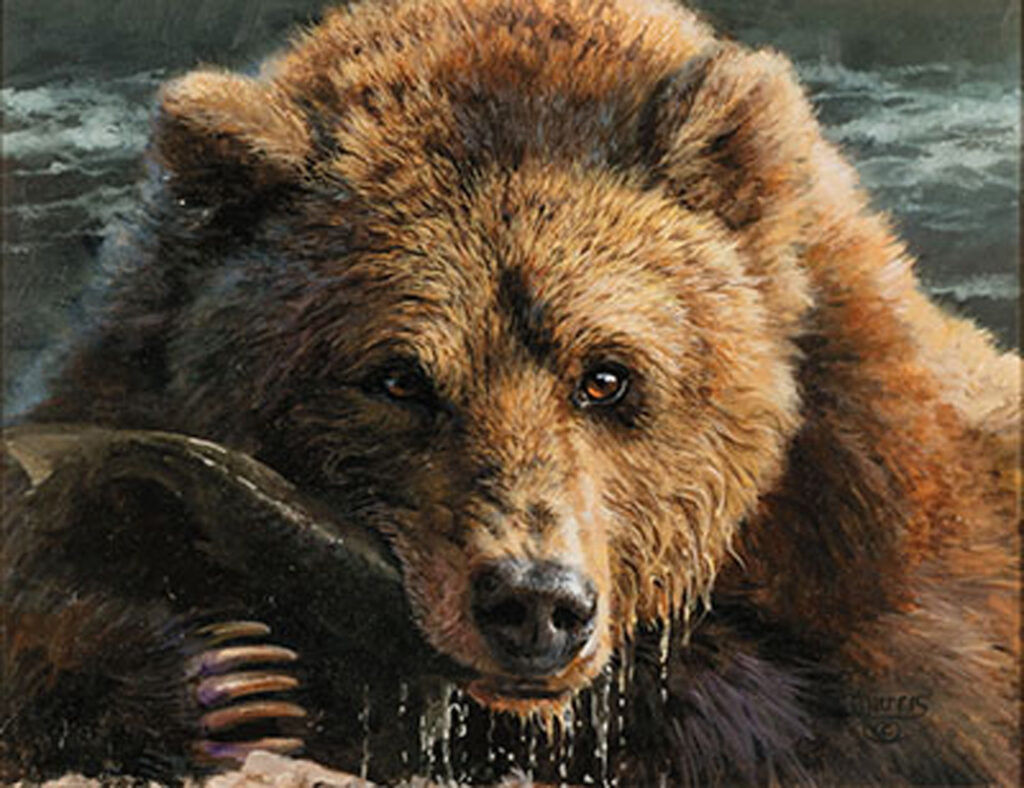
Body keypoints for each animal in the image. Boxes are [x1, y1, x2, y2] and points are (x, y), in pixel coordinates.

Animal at [3, 0, 1019, 784]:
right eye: (398, 377)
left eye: (606, 376)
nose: (534, 602)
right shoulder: (122, 378)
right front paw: (226, 680)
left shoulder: (887, 524)